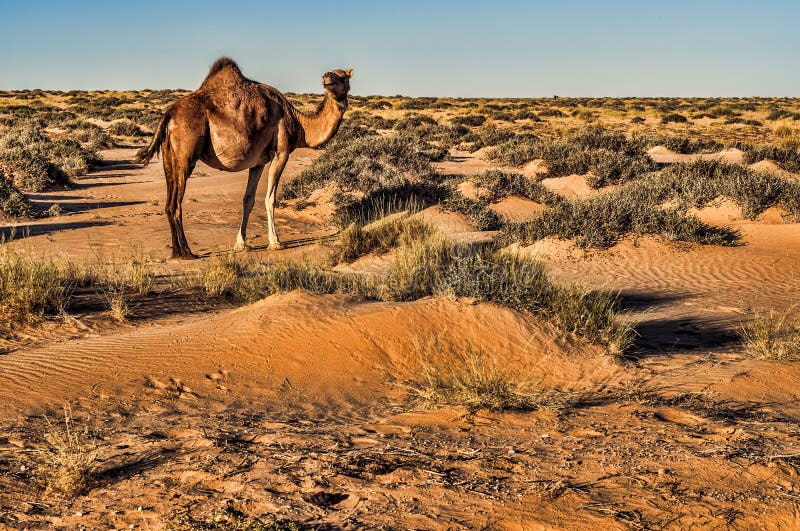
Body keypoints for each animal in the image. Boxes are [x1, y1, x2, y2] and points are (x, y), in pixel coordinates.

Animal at [134, 57, 354, 258]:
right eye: (336, 76)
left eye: (343, 76)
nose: (327, 78)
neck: (299, 124)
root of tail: (169, 114)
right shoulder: (281, 153)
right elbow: (270, 198)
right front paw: (276, 243)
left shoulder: (258, 162)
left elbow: (248, 199)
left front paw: (241, 244)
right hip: (186, 157)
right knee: (176, 204)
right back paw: (188, 252)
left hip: (168, 158)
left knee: (169, 203)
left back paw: (176, 251)